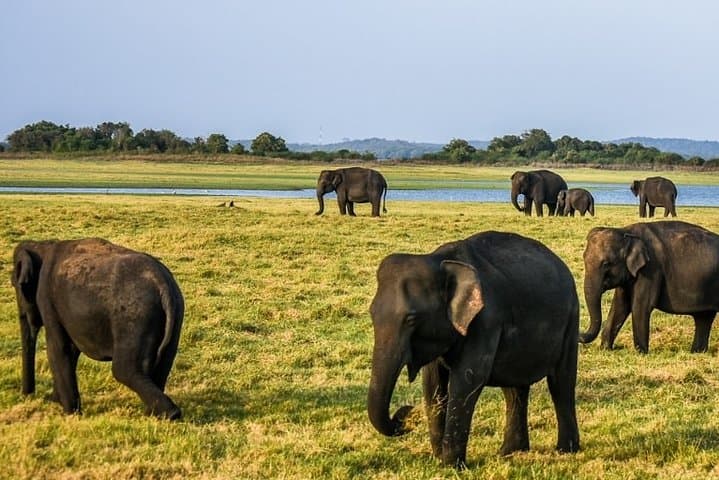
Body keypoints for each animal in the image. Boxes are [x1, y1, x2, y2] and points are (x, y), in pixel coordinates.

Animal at [10, 238, 184, 419]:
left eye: (15, 284)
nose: (28, 395)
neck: (42, 245)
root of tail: (163, 285)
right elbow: (71, 350)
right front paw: (57, 402)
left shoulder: (47, 299)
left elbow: (59, 349)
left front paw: (70, 414)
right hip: (175, 314)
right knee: (162, 364)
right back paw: (155, 415)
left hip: (135, 318)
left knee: (124, 370)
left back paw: (169, 414)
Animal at [368, 231, 580, 468]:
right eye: (372, 314)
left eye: (411, 319)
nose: (407, 415)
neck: (440, 261)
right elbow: (433, 381)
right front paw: (438, 459)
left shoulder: (486, 320)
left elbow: (468, 379)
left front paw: (451, 466)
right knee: (514, 389)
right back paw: (510, 452)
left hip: (571, 320)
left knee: (561, 383)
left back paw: (565, 450)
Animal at [579, 221, 719, 353]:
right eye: (584, 259)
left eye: (606, 263)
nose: (580, 333)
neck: (626, 232)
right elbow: (620, 306)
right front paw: (605, 349)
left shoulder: (651, 270)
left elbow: (640, 306)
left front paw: (641, 352)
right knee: (704, 317)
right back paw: (697, 352)